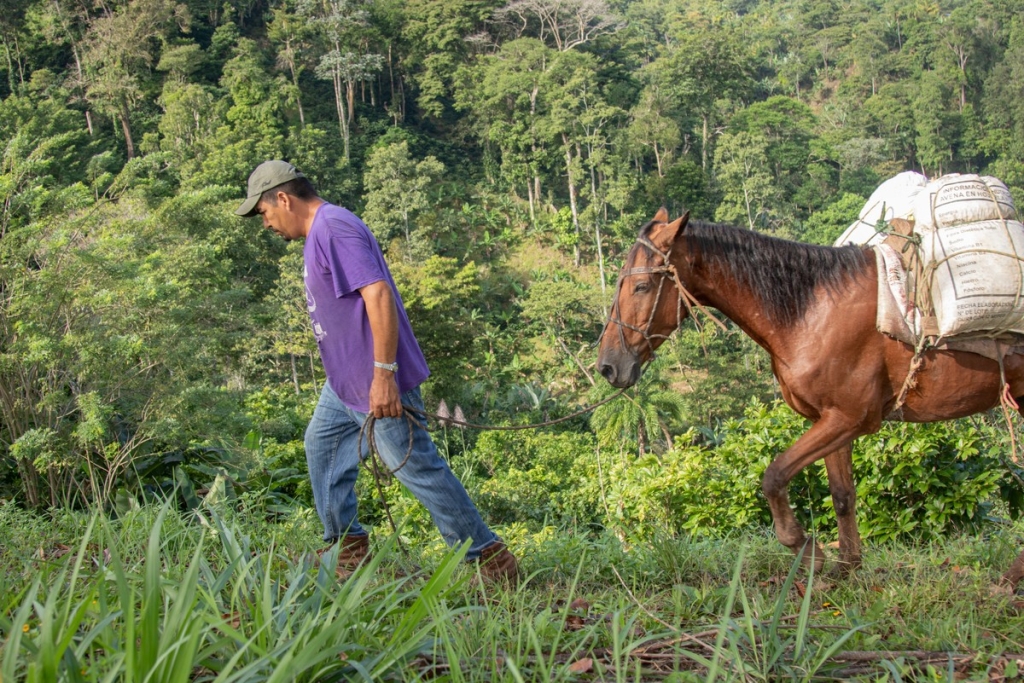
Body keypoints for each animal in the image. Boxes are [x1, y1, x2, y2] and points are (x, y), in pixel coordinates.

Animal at [596, 208, 1024, 589]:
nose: (607, 366)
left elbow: (774, 477)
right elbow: (843, 496)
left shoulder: (850, 417)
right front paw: (846, 567)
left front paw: (808, 550)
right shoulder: (832, 419)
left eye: (641, 286)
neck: (811, 310)